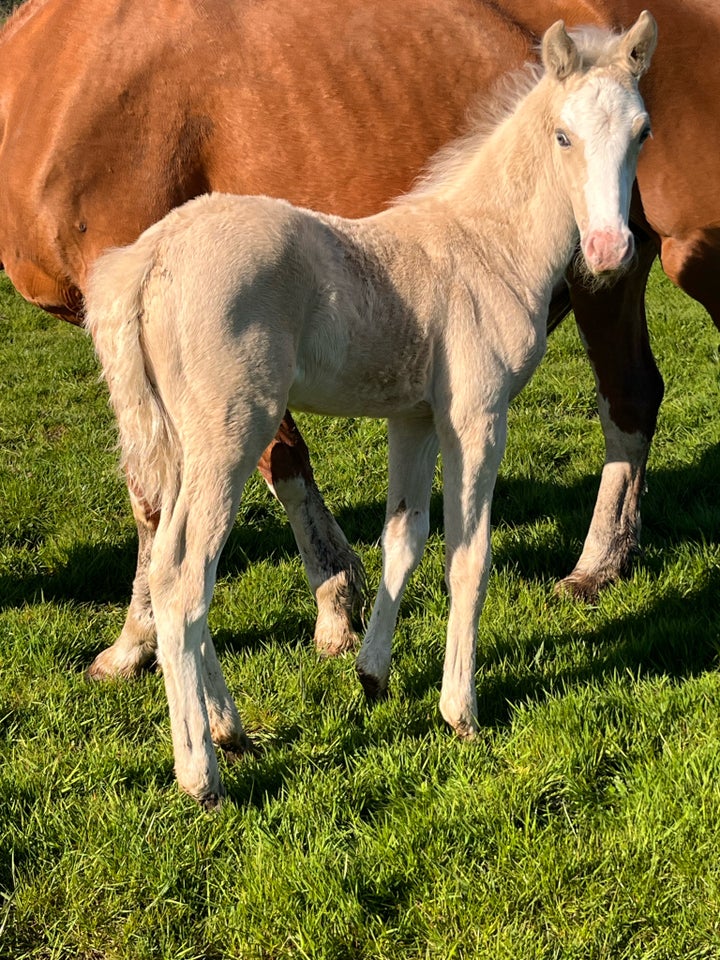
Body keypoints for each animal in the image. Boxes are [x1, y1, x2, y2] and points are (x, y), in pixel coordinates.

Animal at [0, 0, 716, 676]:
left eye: (644, 132)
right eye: (562, 136)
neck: (481, 239)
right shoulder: (462, 413)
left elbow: (410, 538)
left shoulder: (437, 413)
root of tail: (151, 257)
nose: (607, 248)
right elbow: (439, 543)